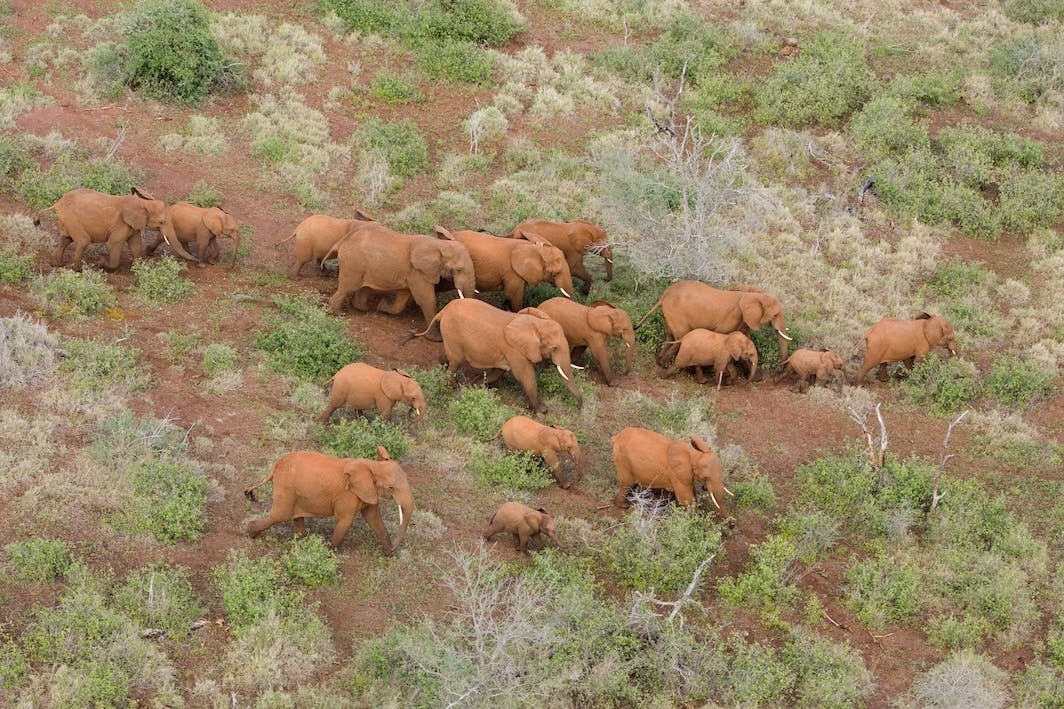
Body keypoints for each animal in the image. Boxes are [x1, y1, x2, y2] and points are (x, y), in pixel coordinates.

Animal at [34, 186, 200, 269]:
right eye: (161, 222)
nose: (197, 260)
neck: (142, 203)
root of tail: (57, 203)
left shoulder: (133, 226)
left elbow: (135, 244)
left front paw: (139, 267)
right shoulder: (121, 223)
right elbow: (113, 244)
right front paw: (102, 263)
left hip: (67, 221)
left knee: (65, 240)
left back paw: (57, 265)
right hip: (72, 220)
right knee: (82, 241)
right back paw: (77, 269)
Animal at [245, 447, 414, 553]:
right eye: (391, 488)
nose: (393, 549)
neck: (373, 465)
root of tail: (274, 467)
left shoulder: (367, 492)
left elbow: (373, 518)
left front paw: (388, 552)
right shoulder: (348, 495)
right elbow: (345, 521)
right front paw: (327, 552)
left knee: (295, 517)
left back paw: (304, 543)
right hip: (286, 488)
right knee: (280, 515)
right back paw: (250, 532)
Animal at [323, 222, 474, 327]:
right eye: (458, 270)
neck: (441, 245)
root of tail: (342, 241)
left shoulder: (411, 273)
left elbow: (403, 295)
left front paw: (383, 307)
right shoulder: (417, 271)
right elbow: (426, 299)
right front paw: (434, 338)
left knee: (365, 288)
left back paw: (364, 309)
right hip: (353, 264)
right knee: (347, 288)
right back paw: (337, 313)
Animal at [410, 295, 587, 410]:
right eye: (555, 348)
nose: (578, 408)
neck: (535, 323)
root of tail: (442, 311)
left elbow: (498, 372)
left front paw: (475, 384)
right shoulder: (514, 349)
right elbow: (526, 375)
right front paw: (542, 410)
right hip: (452, 332)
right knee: (456, 361)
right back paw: (452, 385)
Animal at [629, 281, 791, 361]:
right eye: (775, 315)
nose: (780, 368)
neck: (755, 294)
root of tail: (664, 295)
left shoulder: (744, 320)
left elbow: (746, 338)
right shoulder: (733, 316)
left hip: (668, 313)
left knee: (670, 335)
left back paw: (660, 360)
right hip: (676, 312)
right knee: (681, 336)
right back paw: (665, 364)